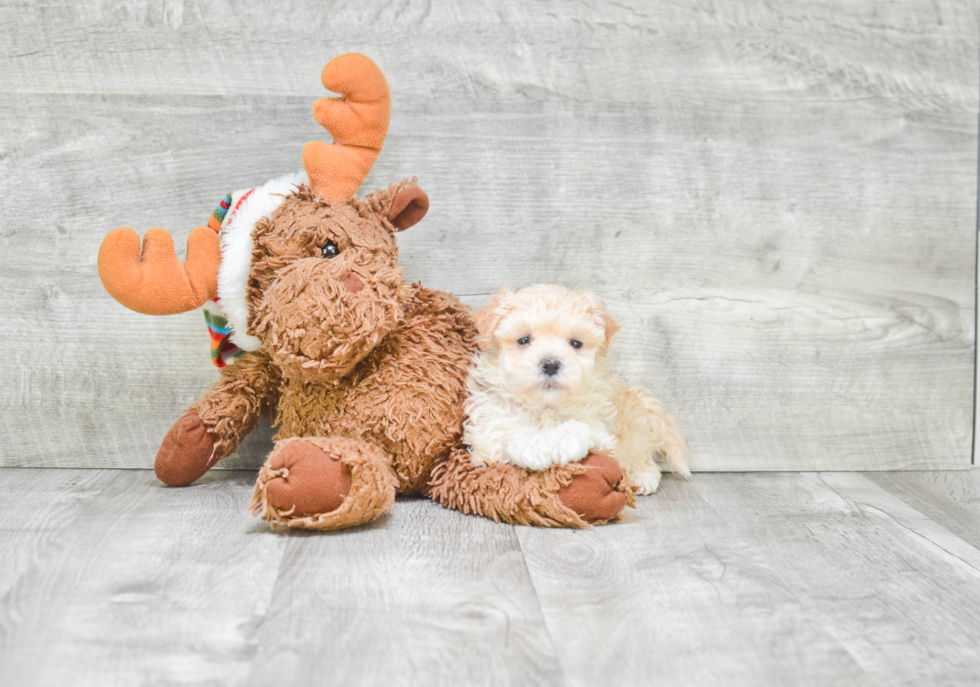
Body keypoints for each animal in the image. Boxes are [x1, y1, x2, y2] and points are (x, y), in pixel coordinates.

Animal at [462, 284, 684, 494]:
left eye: (576, 343)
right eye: (524, 340)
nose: (551, 364)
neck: (545, 405)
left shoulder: (602, 432)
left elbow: (578, 428)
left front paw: (560, 443)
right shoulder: (486, 431)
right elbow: (506, 431)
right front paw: (534, 447)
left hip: (635, 434)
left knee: (640, 453)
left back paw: (643, 477)